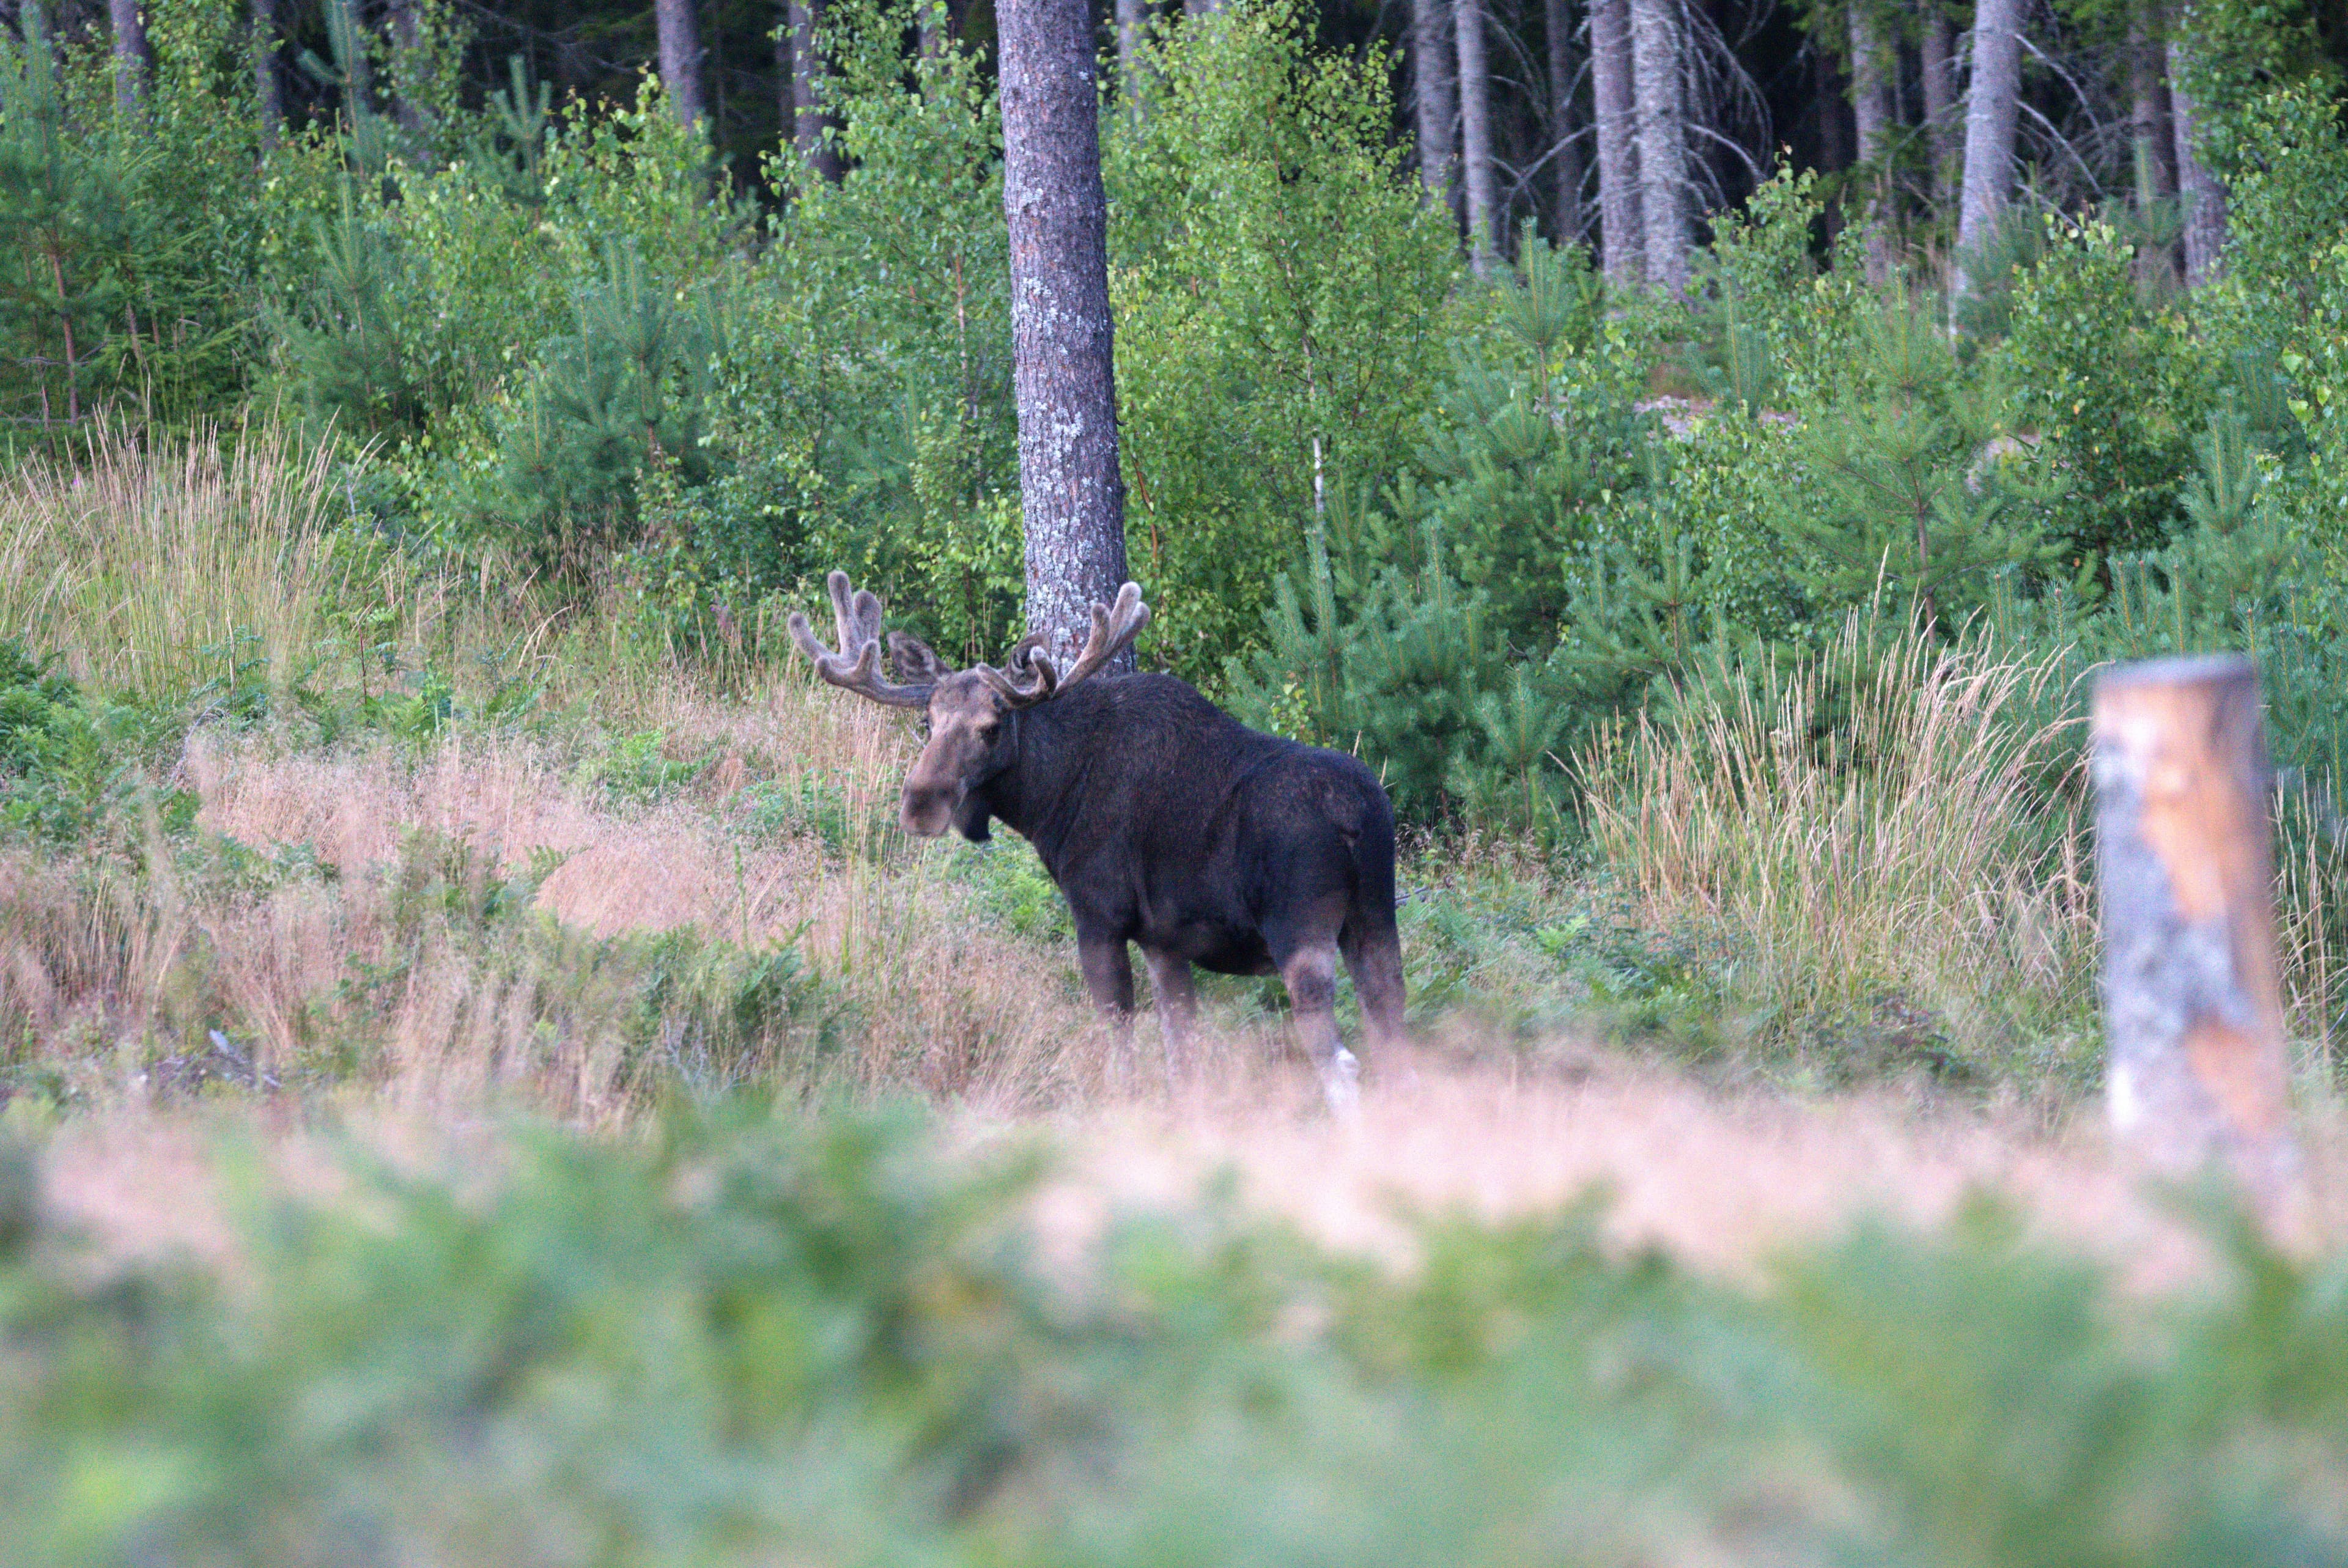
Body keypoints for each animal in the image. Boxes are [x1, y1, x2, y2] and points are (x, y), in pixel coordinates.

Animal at [789, 570, 1409, 1108]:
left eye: (991, 728)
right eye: (927, 723)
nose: (920, 803)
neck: (1049, 802)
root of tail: (1355, 815)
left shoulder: (1099, 918)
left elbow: (1121, 1046)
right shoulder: (1164, 942)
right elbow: (1182, 1056)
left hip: (1299, 931)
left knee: (1343, 1063)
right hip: (1374, 919)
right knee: (1397, 1044)